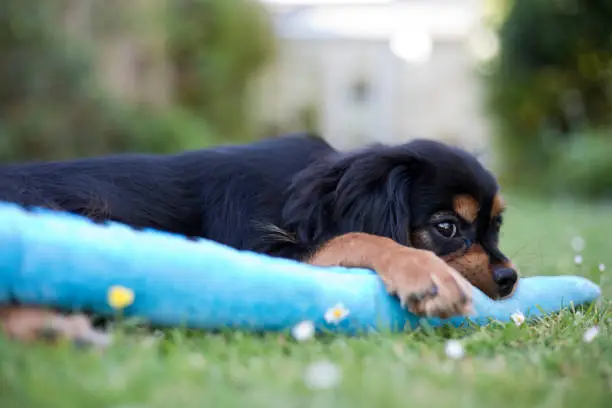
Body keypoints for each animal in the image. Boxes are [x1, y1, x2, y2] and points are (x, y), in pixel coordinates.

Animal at [0, 134, 516, 344]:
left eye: (496, 225)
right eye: (446, 228)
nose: (508, 277)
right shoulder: (261, 250)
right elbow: (356, 236)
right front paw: (425, 272)